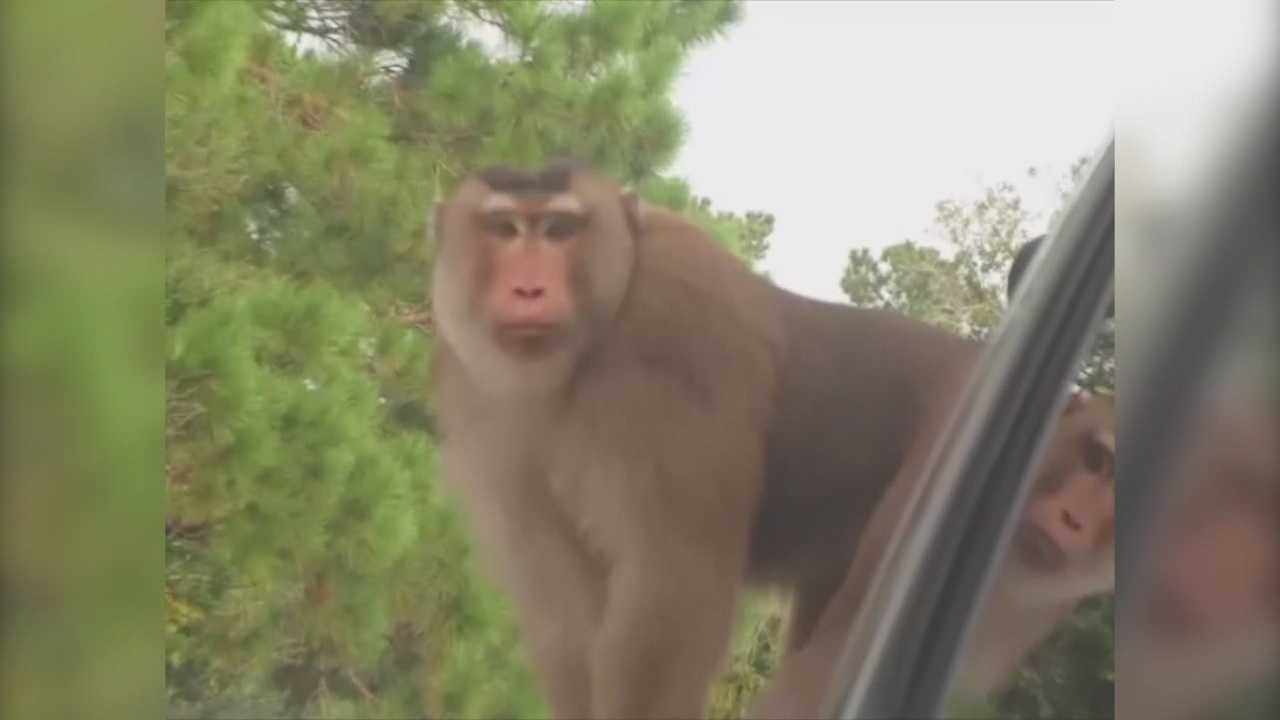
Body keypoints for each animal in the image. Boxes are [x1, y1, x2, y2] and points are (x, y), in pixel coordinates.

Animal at [429, 161, 1043, 718]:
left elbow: (670, 592)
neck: (594, 339)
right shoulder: (480, 402)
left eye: (559, 230)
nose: (529, 288)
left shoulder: (676, 339)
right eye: (505, 228)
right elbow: (564, 613)